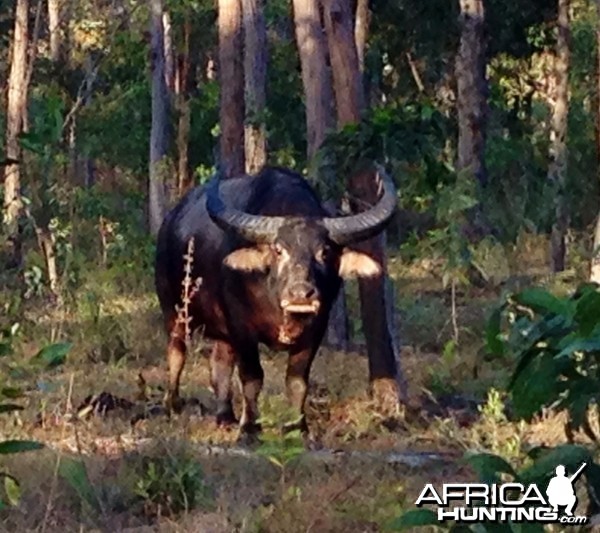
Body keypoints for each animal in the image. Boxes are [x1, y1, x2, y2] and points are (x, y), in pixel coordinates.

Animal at [157, 166, 396, 432]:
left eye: (324, 252)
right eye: (279, 250)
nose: (301, 294)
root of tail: (170, 220)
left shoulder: (315, 331)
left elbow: (297, 381)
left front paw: (297, 427)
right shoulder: (242, 327)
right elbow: (252, 378)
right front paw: (249, 428)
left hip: (221, 332)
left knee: (220, 362)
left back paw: (225, 416)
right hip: (175, 310)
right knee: (177, 352)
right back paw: (172, 404)